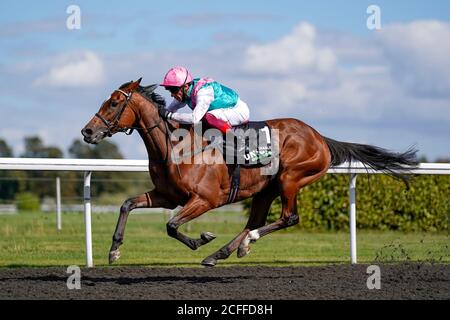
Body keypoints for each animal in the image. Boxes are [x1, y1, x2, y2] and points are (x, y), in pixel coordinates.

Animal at [81, 79, 418, 266]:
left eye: (113, 103)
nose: (87, 131)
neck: (176, 145)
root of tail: (320, 137)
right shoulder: (167, 195)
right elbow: (128, 204)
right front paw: (114, 251)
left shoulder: (204, 200)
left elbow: (172, 225)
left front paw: (201, 239)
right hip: (264, 190)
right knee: (254, 221)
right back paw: (224, 252)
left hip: (291, 178)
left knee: (287, 218)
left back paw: (239, 244)